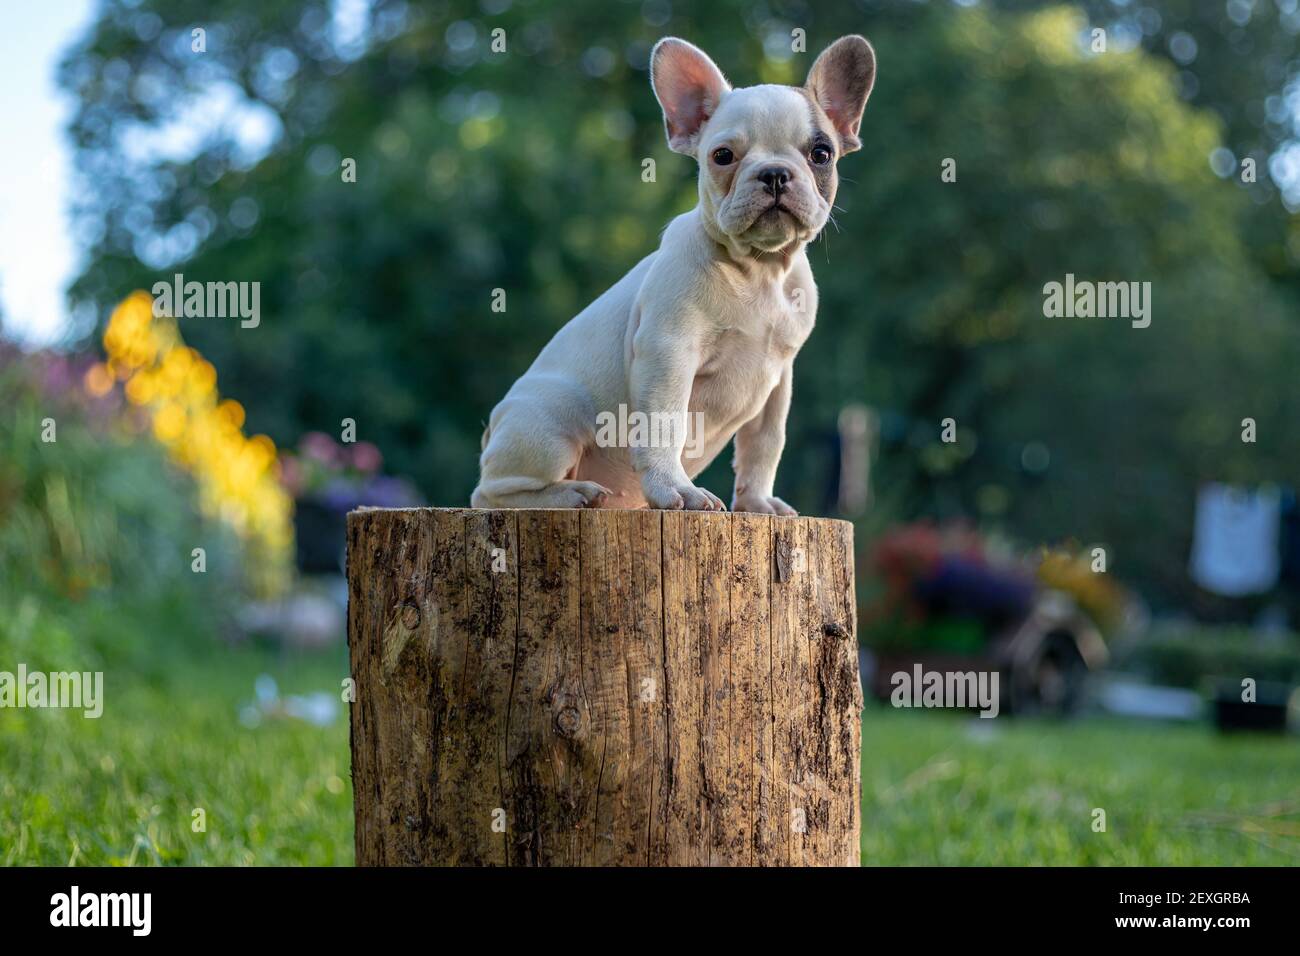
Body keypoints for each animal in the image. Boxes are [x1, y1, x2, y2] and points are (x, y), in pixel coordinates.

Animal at [473, 35, 878, 515]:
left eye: (821, 154)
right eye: (723, 156)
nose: (775, 173)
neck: (757, 270)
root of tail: (492, 430)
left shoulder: (778, 382)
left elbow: (764, 445)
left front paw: (758, 502)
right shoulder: (669, 353)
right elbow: (665, 425)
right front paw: (677, 491)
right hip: (553, 418)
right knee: (491, 493)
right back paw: (571, 494)